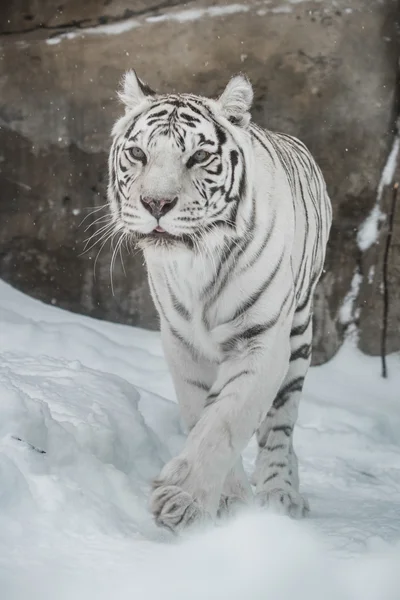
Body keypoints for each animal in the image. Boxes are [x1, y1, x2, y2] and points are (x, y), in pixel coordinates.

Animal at [106, 68, 332, 532]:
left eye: (197, 157)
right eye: (137, 153)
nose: (156, 203)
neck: (197, 261)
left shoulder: (261, 340)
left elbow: (226, 420)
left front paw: (182, 501)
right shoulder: (182, 342)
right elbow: (202, 413)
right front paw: (227, 500)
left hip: (299, 333)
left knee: (281, 424)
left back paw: (281, 493)